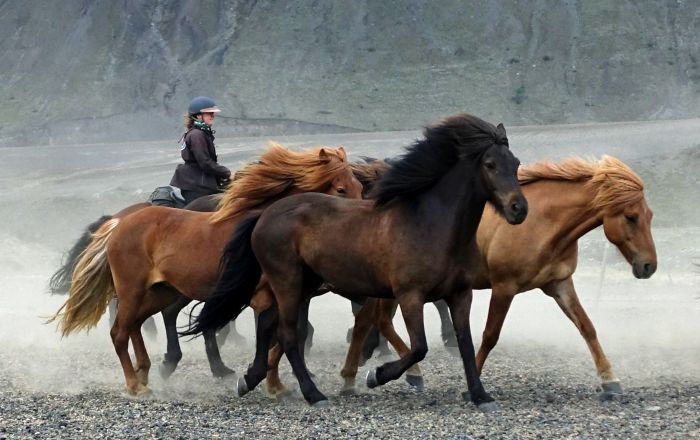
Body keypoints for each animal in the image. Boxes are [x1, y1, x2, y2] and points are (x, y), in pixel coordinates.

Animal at [50, 144, 364, 396]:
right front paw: (267, 380)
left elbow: (278, 337)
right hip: (132, 290)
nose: (356, 227)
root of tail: (118, 223)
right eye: (340, 189)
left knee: (137, 325)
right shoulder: (270, 295)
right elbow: (278, 335)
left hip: (160, 292)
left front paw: (274, 384)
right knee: (119, 332)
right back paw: (136, 384)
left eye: (360, 187)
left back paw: (148, 370)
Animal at [187, 113, 532, 410]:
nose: (519, 209)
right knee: (287, 335)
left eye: (515, 163)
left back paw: (250, 379)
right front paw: (376, 376)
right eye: (490, 164)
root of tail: (264, 214)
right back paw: (313, 394)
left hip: (301, 284)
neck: (430, 224)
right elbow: (418, 346)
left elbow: (465, 343)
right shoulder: (409, 295)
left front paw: (480, 396)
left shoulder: (460, 294)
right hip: (288, 282)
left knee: (271, 326)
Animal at [340, 155, 656, 398]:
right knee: (376, 319)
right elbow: (490, 335)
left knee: (377, 319)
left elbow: (587, 327)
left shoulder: (559, 284)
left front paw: (610, 381)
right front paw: (473, 384)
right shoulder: (505, 287)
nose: (649, 266)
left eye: (650, 215)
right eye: (630, 217)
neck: (543, 223)